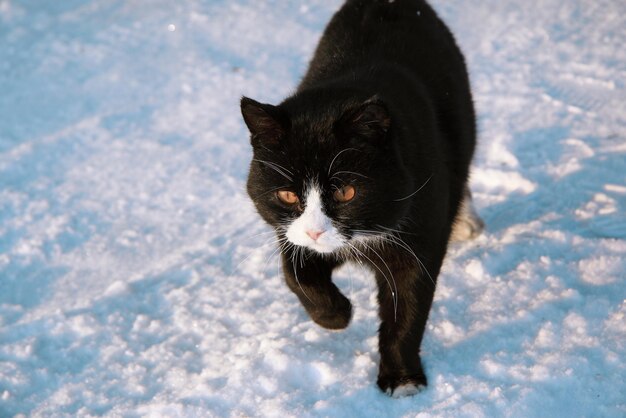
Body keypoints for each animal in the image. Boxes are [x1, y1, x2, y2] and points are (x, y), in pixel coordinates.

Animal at [241, 0, 480, 396]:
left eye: (346, 191)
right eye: (287, 194)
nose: (316, 232)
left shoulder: (419, 232)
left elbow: (407, 306)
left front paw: (403, 381)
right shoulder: (289, 232)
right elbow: (295, 273)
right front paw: (336, 315)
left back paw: (466, 221)